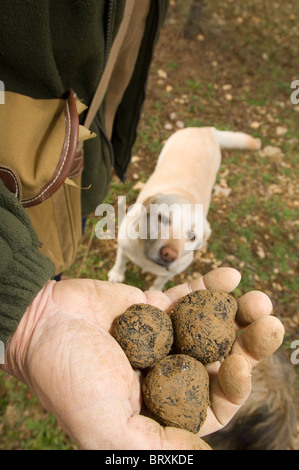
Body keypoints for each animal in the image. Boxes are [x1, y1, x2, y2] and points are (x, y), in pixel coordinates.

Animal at [108, 127, 262, 290]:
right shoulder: (123, 246)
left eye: (192, 236)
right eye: (162, 218)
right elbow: (120, 261)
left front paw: (155, 290)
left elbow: (158, 282)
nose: (169, 254)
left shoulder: (170, 273)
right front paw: (116, 274)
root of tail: (205, 129)